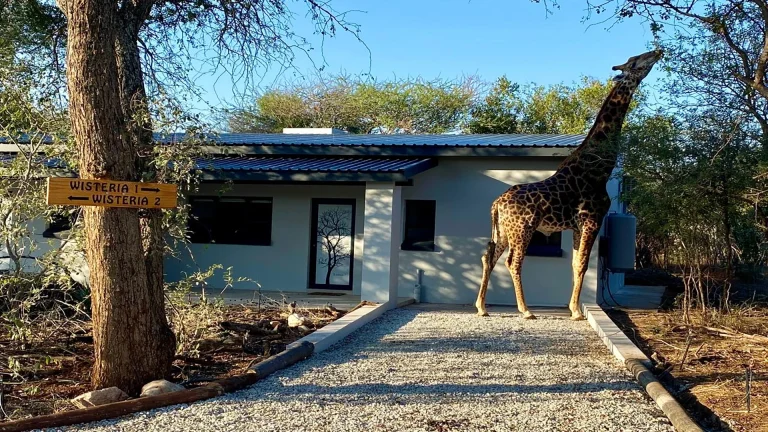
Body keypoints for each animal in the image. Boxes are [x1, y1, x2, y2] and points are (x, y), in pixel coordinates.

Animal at [475, 49, 662, 321]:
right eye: (636, 60)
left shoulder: (576, 226)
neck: (599, 169)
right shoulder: (592, 219)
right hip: (522, 229)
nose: (658, 51)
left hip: (503, 231)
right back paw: (526, 310)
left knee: (487, 257)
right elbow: (583, 264)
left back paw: (482, 307)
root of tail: (496, 204)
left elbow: (575, 264)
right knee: (513, 261)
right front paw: (576, 312)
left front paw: (574, 307)